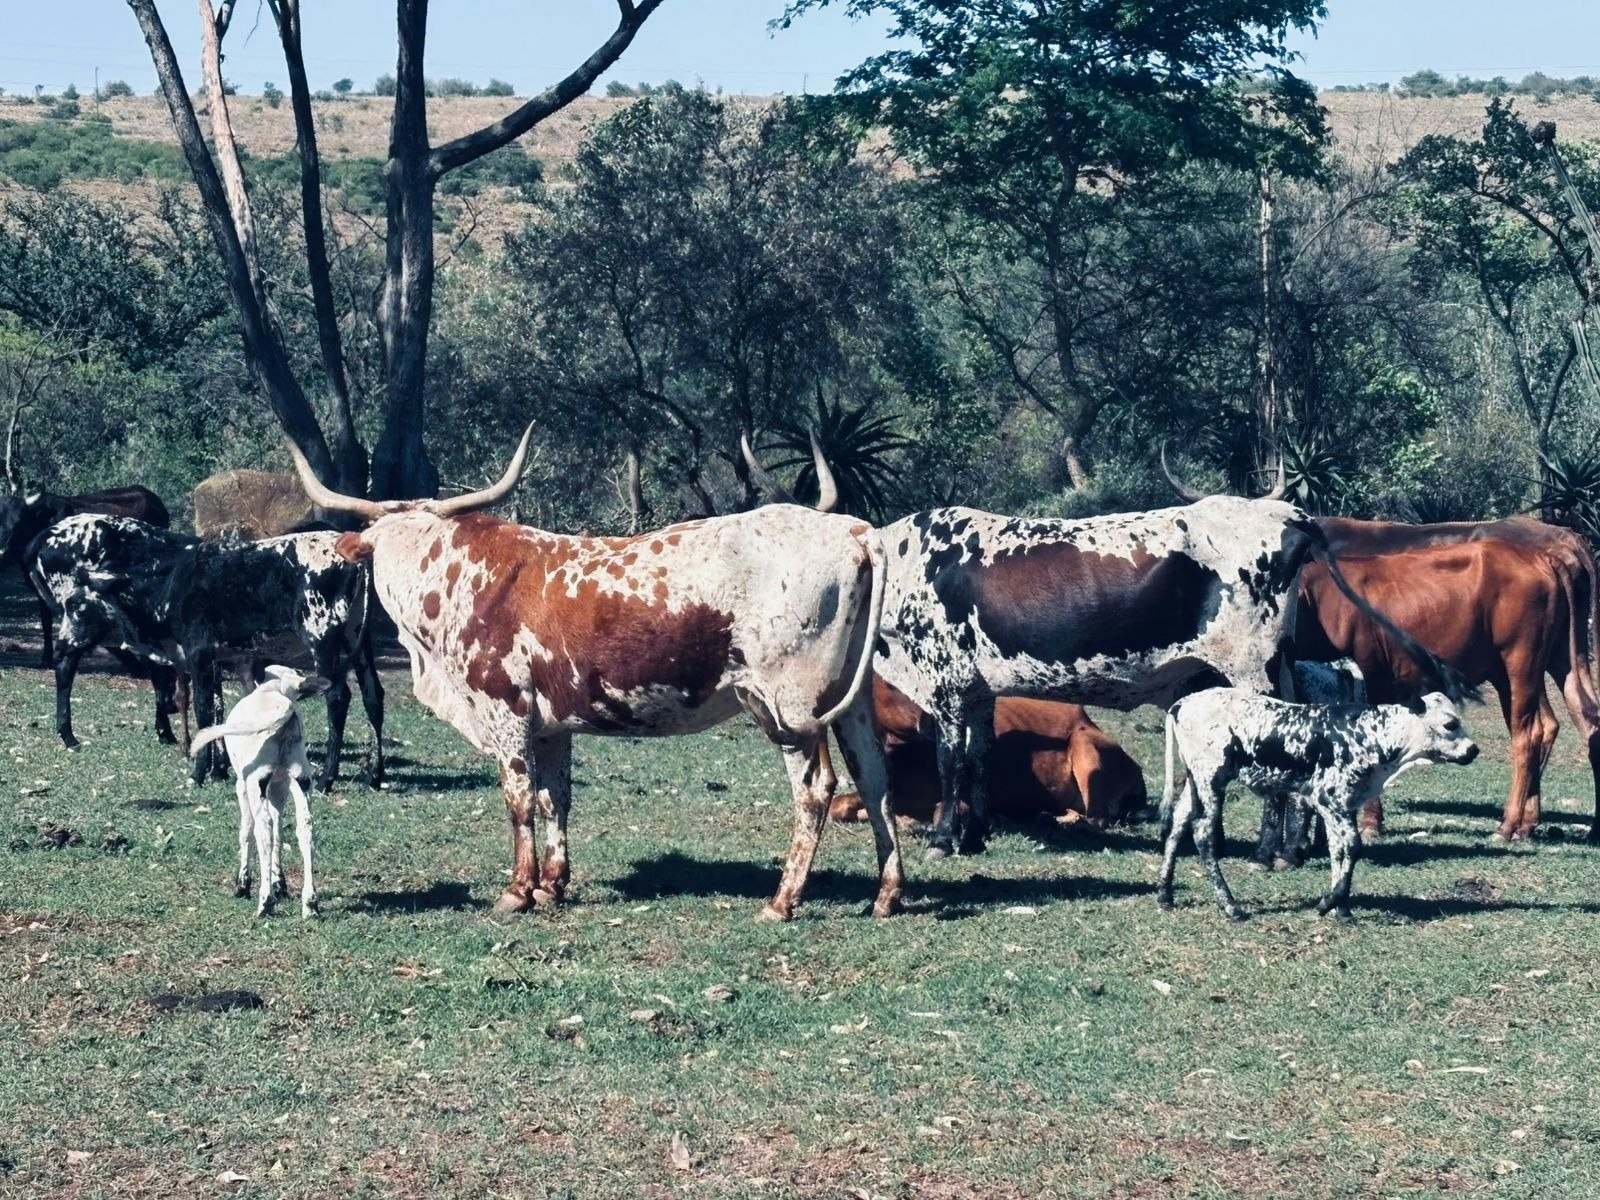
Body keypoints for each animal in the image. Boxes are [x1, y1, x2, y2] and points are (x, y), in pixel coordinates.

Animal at [31, 516, 385, 789]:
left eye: (77, 604)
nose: (63, 639)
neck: (170, 583)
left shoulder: (199, 654)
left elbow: (203, 711)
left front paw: (200, 772)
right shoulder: (216, 658)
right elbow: (217, 709)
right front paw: (218, 768)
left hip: (323, 639)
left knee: (338, 698)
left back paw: (328, 777)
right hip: (355, 640)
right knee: (372, 694)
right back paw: (374, 776)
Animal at [288, 428, 904, 922]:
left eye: (419, 547)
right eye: (381, 548)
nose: (396, 587)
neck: (459, 578)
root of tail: (852, 531)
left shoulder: (507, 715)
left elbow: (518, 799)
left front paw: (518, 890)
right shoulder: (551, 725)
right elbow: (553, 799)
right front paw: (552, 885)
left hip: (789, 708)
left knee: (816, 790)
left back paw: (782, 900)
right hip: (852, 703)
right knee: (875, 778)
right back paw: (887, 894)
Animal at [872, 497, 1466, 859]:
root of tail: (1282, 510)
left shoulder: (944, 681)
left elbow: (950, 762)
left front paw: (944, 839)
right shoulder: (976, 689)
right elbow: (978, 759)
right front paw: (975, 834)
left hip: (1251, 669)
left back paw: (1268, 852)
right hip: (1275, 668)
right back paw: (1294, 848)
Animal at [1158, 688, 1479, 920]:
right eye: (1450, 723)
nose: (1473, 750)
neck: (1370, 733)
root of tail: (1182, 703)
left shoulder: (1342, 805)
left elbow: (1338, 850)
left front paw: (1343, 911)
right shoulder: (1329, 799)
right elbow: (1353, 846)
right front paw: (1328, 903)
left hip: (1195, 783)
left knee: (1177, 826)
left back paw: (1165, 895)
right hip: (1210, 780)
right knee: (1202, 835)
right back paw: (1230, 906)